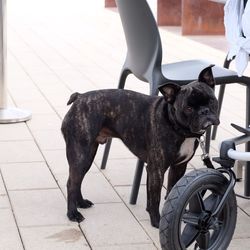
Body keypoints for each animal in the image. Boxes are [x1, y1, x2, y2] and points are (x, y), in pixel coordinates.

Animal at [60, 65, 219, 229]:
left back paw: (81, 203)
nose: (204, 111)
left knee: (78, 180)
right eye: (188, 108)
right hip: (80, 154)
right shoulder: (156, 170)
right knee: (72, 183)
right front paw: (157, 221)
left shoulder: (178, 167)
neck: (179, 128)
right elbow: (155, 197)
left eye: (212, 100)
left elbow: (171, 190)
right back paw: (73, 213)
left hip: (87, 155)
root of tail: (79, 97)